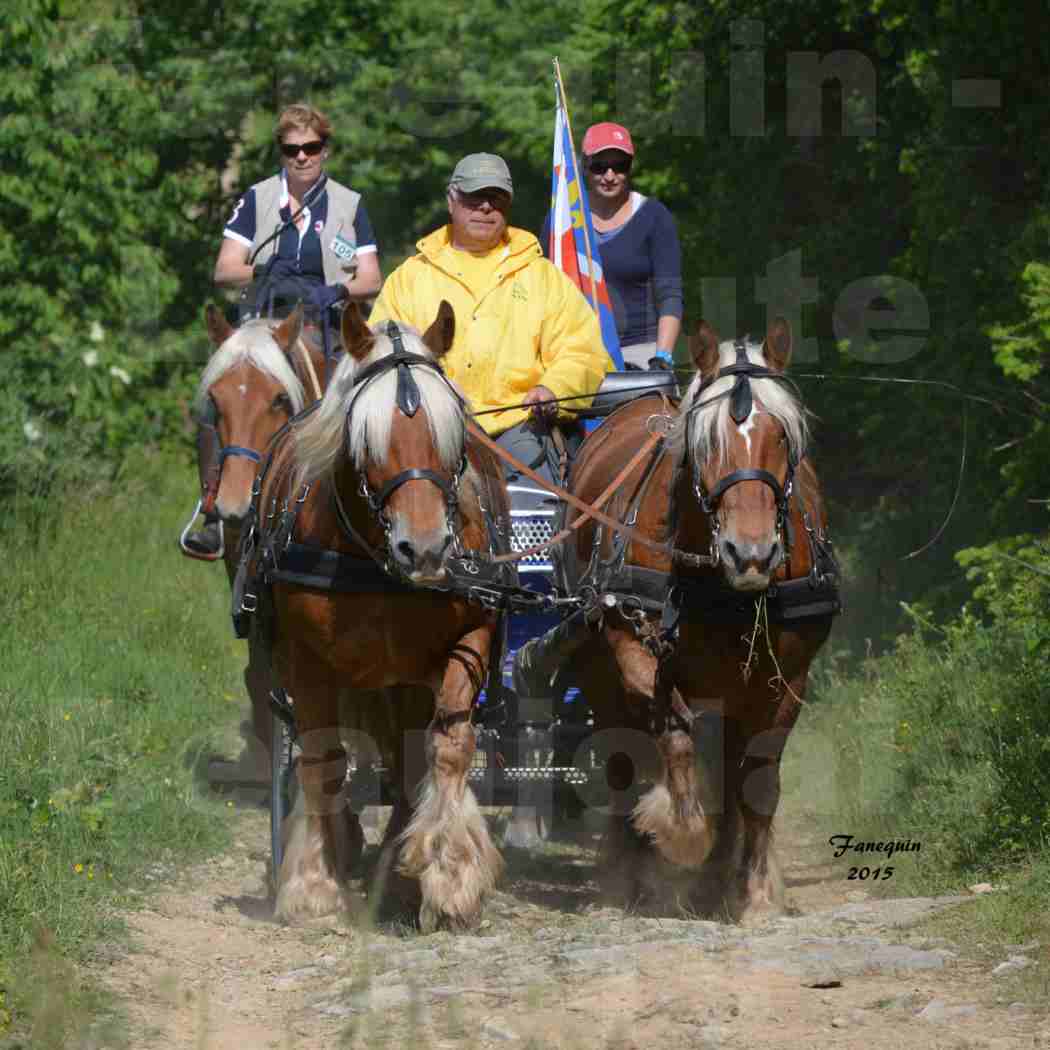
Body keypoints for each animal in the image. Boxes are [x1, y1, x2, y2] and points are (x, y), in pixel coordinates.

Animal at [245, 298, 508, 928]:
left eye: (452, 435)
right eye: (367, 439)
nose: (426, 549)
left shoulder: (473, 635)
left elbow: (448, 747)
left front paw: (450, 875)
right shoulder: (308, 659)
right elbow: (322, 758)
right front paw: (314, 882)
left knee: (406, 755)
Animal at [546, 317, 839, 919]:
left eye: (783, 437)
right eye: (706, 442)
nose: (750, 554)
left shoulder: (789, 676)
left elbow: (757, 776)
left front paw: (749, 889)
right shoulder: (634, 644)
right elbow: (675, 738)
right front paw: (682, 834)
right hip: (593, 659)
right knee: (622, 753)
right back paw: (625, 872)